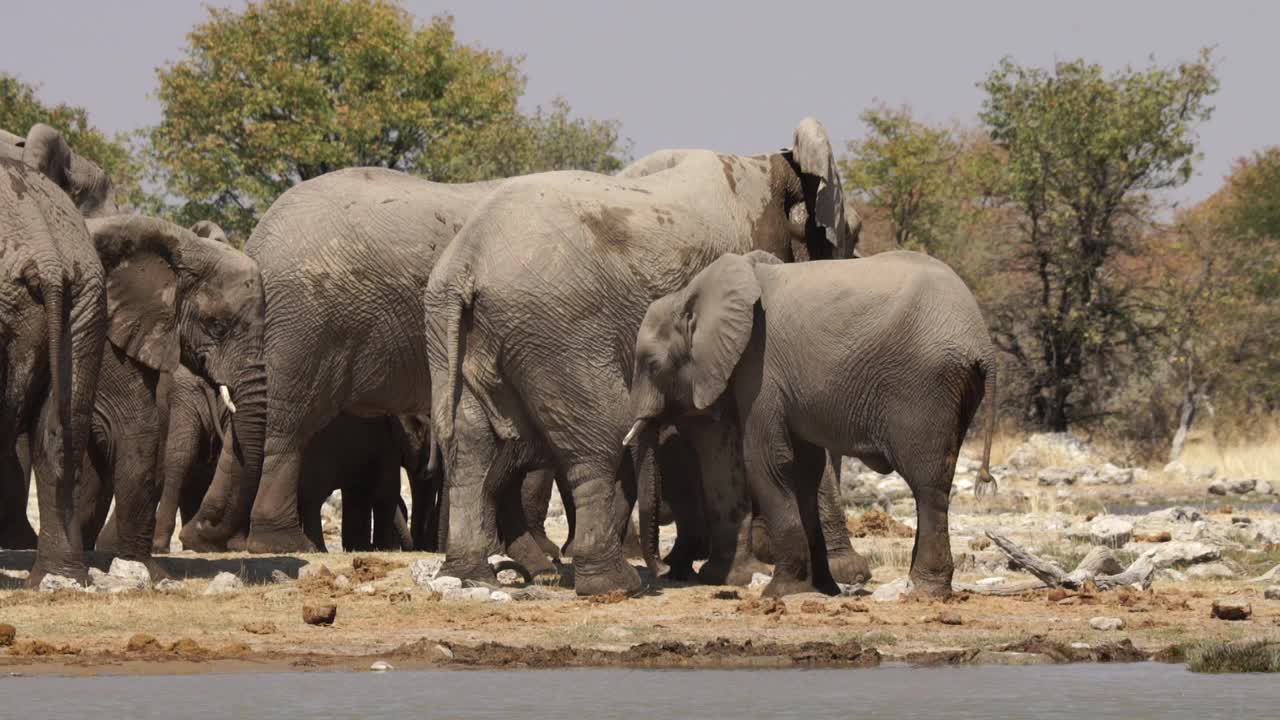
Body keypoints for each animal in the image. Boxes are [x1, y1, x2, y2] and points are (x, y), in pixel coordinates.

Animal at [427, 116, 860, 589]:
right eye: (853, 232)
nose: (663, 568)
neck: (776, 164)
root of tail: (466, 261)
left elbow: (712, 428)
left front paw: (727, 575)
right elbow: (730, 427)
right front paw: (785, 573)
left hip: (455, 332)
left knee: (471, 445)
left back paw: (470, 576)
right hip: (557, 329)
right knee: (603, 433)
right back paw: (615, 583)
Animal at [624, 249, 993, 597]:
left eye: (652, 364)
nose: (663, 570)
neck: (690, 293)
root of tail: (983, 344)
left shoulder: (760, 370)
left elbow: (767, 462)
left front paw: (780, 592)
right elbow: (805, 469)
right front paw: (823, 589)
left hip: (926, 386)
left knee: (927, 485)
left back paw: (925, 590)